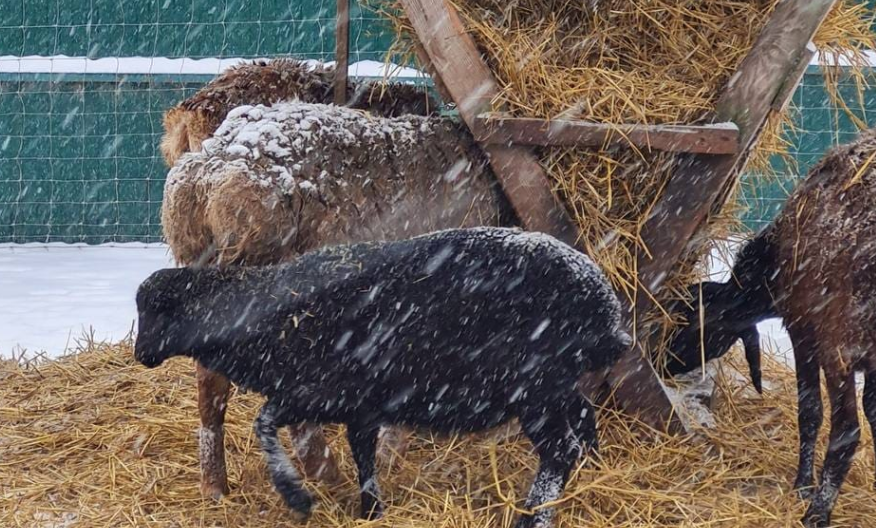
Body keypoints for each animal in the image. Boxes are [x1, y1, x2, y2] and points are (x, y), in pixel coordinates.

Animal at [133, 227, 628, 528]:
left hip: (534, 388)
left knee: (559, 451)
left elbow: (264, 423)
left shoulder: (317, 391)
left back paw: (534, 515)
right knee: (584, 419)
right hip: (556, 386)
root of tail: (606, 306)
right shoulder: (358, 405)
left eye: (159, 311)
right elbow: (363, 455)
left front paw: (296, 497)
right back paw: (596, 474)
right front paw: (370, 509)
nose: (141, 356)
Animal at [664, 129, 876, 528]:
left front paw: (803, 486)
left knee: (845, 432)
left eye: (688, 325)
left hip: (840, 338)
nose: (662, 362)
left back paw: (816, 512)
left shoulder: (805, 330)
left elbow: (810, 412)